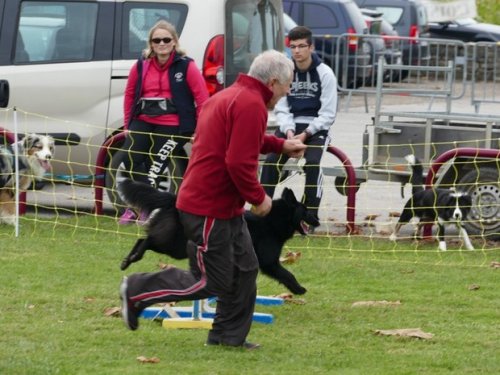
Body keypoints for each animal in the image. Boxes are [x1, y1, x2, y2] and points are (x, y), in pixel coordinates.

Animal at [118, 178, 318, 296]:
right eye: (306, 211)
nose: (317, 220)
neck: (274, 220)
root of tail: (173, 200)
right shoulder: (269, 262)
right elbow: (287, 274)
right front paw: (299, 289)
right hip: (176, 246)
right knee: (148, 240)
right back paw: (132, 258)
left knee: (143, 239)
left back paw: (128, 259)